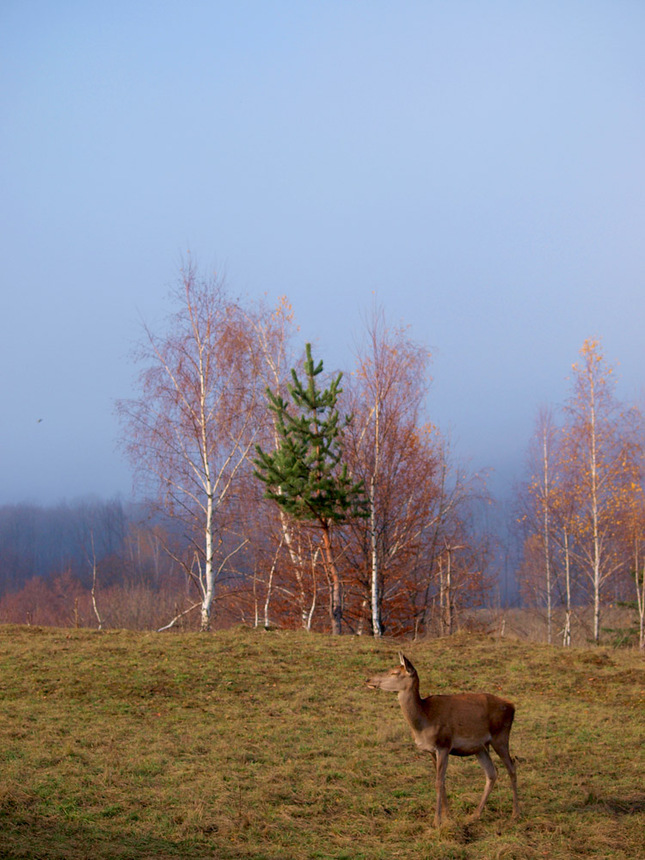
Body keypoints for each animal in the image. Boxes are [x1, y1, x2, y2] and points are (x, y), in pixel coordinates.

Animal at [368, 656, 520, 828]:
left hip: (500, 736)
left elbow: (438, 782)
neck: (424, 721)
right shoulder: (431, 750)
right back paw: (475, 815)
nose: (369, 679)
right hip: (480, 747)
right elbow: (442, 782)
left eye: (394, 673)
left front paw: (437, 821)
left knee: (511, 768)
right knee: (492, 773)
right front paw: (447, 816)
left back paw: (515, 813)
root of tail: (512, 705)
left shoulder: (443, 745)